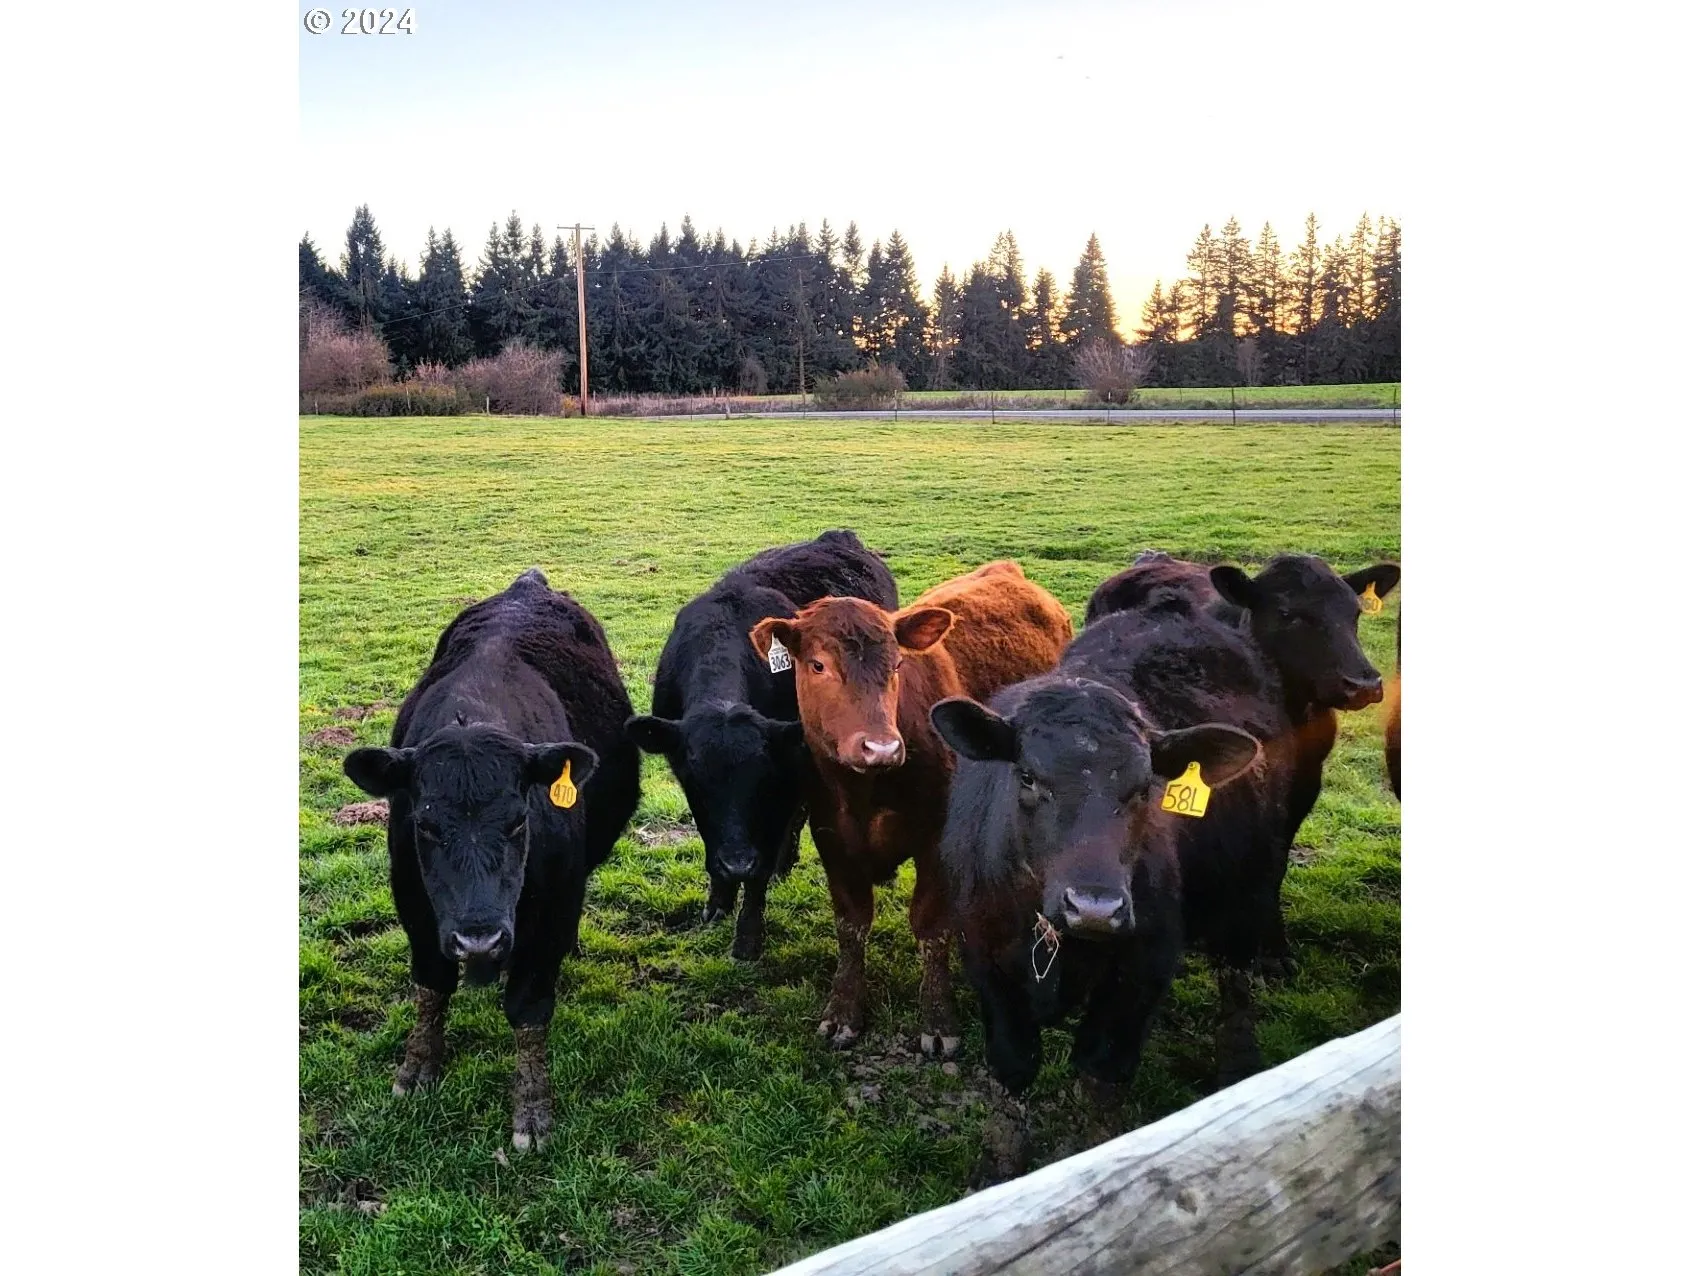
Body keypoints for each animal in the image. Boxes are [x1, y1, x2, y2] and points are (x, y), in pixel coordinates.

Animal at [343, 568, 641, 1151]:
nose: (478, 939)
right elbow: (432, 984)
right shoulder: (414, 901)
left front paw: (531, 1110)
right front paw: (417, 1067)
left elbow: (529, 1007)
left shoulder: (552, 908)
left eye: (519, 821)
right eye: (425, 825)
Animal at [623, 530, 899, 960]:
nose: (738, 863)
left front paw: (748, 937)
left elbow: (763, 863)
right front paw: (717, 904)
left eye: (762, 779)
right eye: (697, 780)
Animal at [749, 561, 1072, 1055]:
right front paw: (843, 1012)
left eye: (897, 665)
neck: (866, 791)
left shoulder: (935, 840)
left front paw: (938, 1020)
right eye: (818, 665)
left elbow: (930, 926)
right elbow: (851, 926)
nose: (880, 747)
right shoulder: (832, 839)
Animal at [933, 677, 1258, 1181]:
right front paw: (1001, 1161)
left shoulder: (1146, 968)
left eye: (1144, 788)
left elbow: (1102, 1072)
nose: (1094, 907)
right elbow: (1013, 1064)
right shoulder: (984, 959)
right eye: (1028, 777)